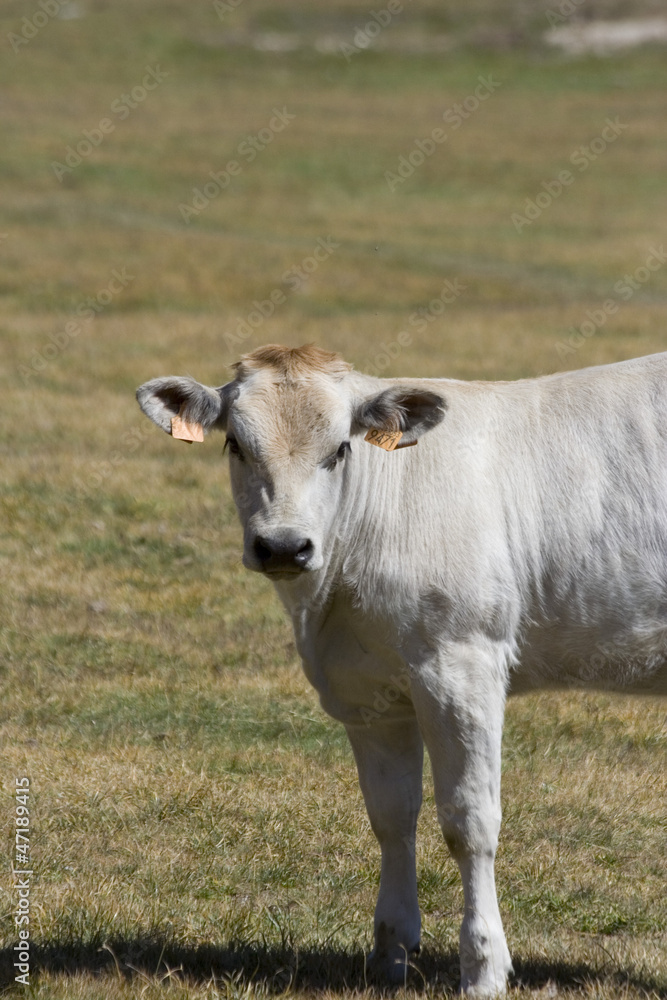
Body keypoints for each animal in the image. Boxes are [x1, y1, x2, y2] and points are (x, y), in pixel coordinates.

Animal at [137, 344, 667, 996]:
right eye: (235, 443)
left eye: (340, 449)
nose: (283, 546)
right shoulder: (368, 694)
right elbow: (391, 816)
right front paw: (390, 953)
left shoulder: (462, 666)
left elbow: (470, 821)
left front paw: (483, 966)